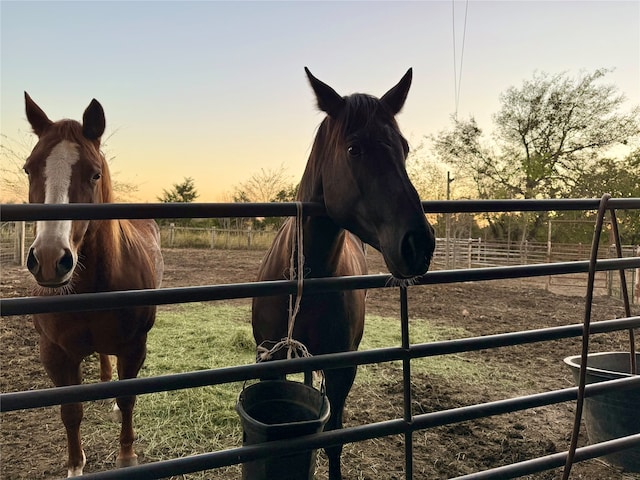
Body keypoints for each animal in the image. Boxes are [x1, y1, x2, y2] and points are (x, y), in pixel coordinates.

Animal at [22, 94, 164, 476]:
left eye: (95, 173)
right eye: (29, 168)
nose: (49, 258)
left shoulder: (135, 346)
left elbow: (127, 399)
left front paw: (127, 456)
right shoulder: (55, 354)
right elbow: (71, 412)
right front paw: (74, 466)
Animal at [252, 69, 438, 478]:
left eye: (404, 149)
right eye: (354, 149)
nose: (419, 244)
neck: (308, 277)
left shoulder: (341, 369)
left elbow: (333, 439)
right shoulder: (270, 362)